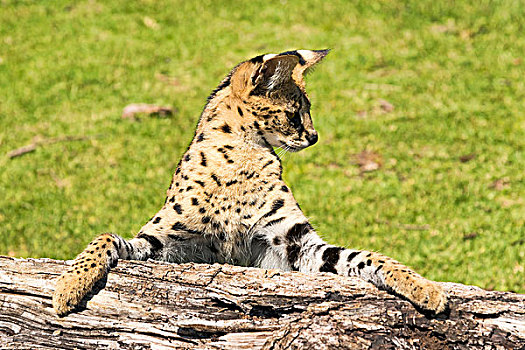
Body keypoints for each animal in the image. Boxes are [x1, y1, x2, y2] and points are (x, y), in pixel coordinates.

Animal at [53, 50, 446, 318]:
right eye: (294, 113)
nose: (315, 137)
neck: (239, 157)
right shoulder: (165, 243)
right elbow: (105, 238)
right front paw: (68, 287)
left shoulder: (295, 244)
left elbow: (366, 257)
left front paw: (424, 287)